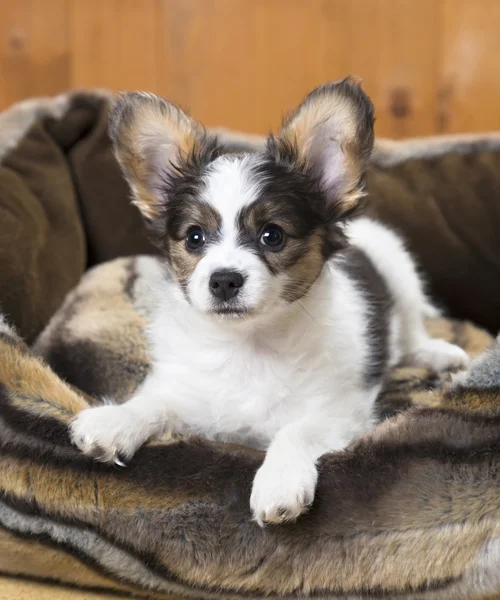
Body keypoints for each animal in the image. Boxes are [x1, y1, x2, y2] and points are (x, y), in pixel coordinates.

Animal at [71, 78, 468, 524]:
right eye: (194, 237)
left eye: (272, 235)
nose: (224, 280)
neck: (249, 345)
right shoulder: (184, 387)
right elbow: (153, 401)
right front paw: (116, 420)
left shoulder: (340, 411)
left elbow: (295, 430)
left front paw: (279, 481)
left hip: (397, 264)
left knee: (412, 334)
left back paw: (441, 354)